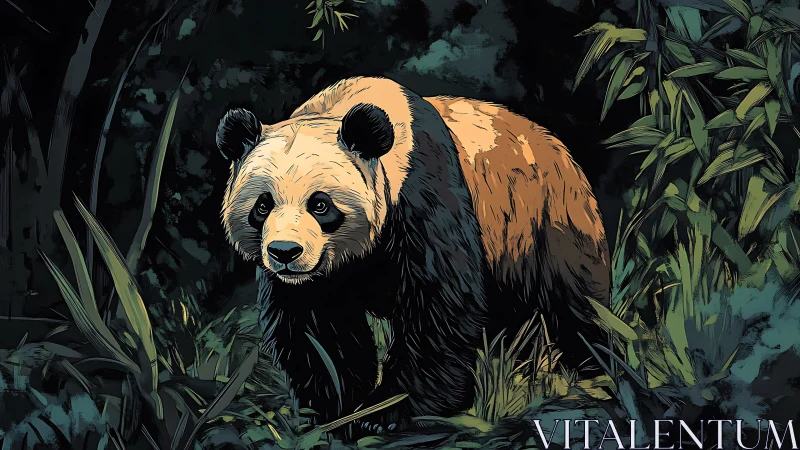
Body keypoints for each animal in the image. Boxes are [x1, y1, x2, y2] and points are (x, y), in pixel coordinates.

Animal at [217, 76, 610, 435]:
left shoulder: (422, 194)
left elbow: (438, 305)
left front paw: (390, 412)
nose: (285, 252)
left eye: (320, 204)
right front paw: (335, 411)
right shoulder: (310, 279)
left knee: (571, 307)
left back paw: (590, 375)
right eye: (263, 206)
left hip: (542, 220)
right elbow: (313, 325)